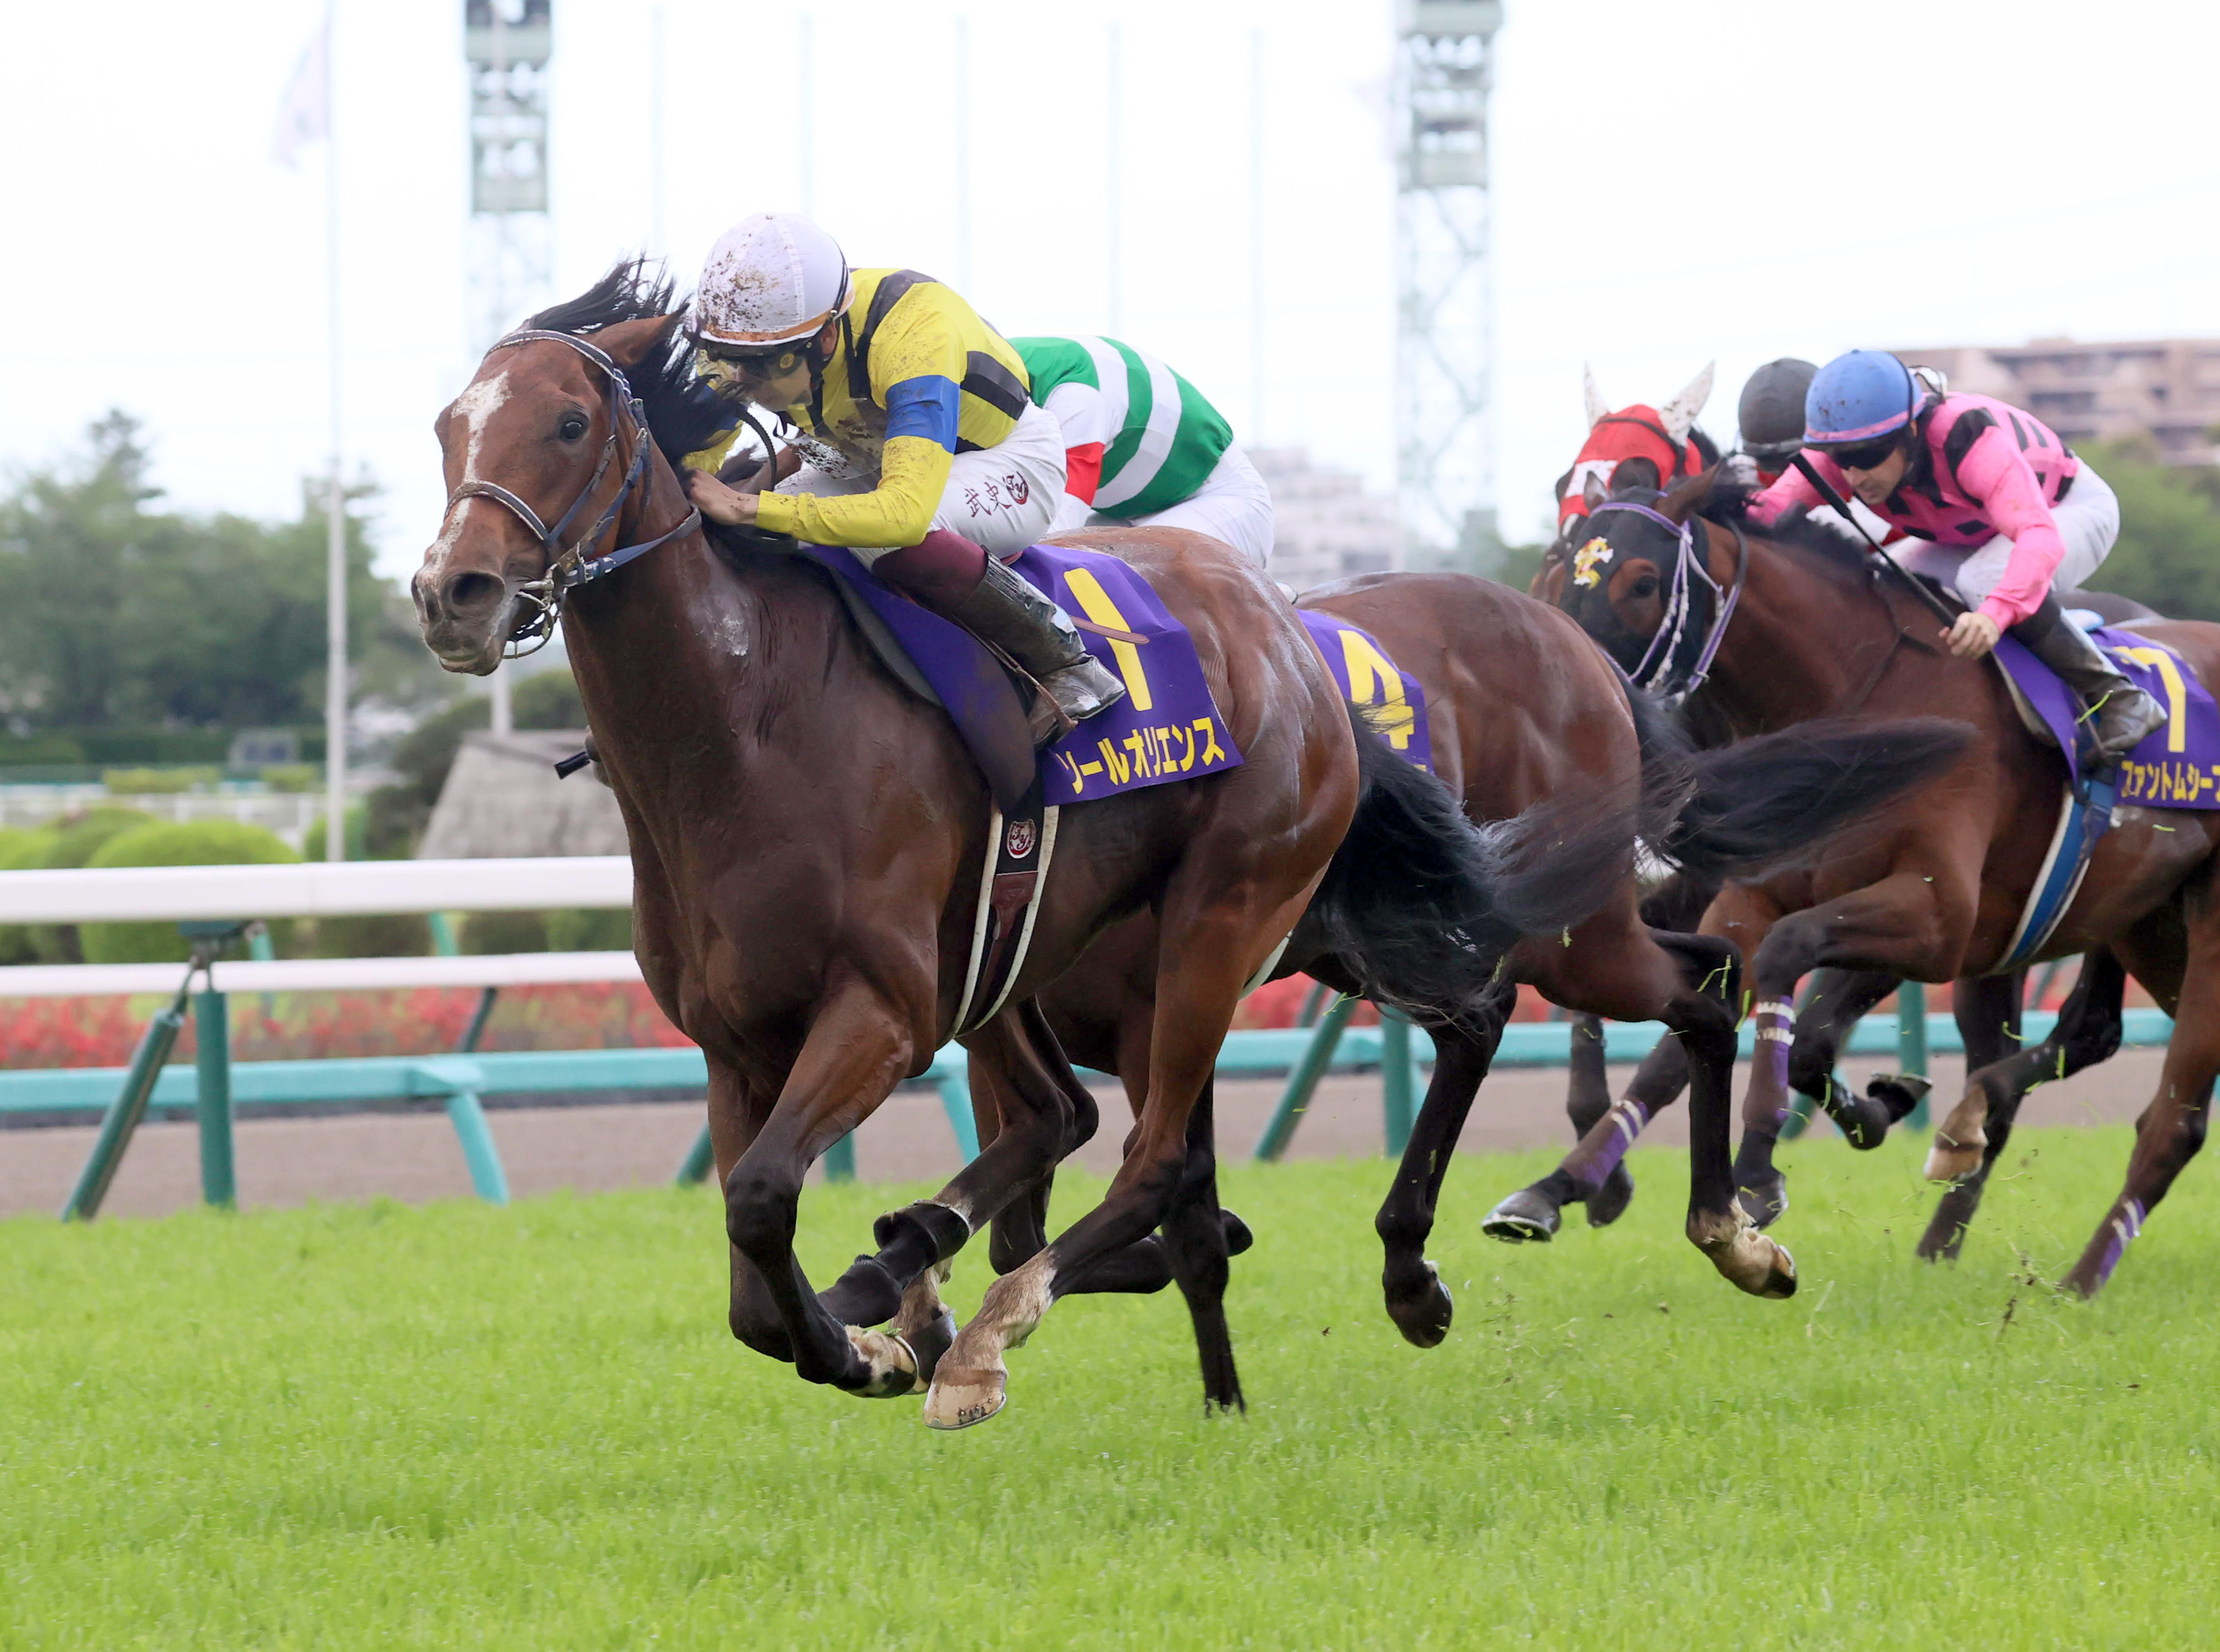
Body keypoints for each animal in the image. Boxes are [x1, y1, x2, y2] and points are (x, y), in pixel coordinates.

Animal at [410, 263, 1640, 1426]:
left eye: (570, 423)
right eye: (445, 426)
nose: (452, 592)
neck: (741, 729)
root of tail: (1293, 641)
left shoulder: (887, 1010)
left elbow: (764, 1199)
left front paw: (873, 1345)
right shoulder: (739, 1040)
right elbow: (753, 1282)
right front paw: (873, 1322)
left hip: (1226, 918)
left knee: (1160, 1157)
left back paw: (991, 1337)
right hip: (1070, 953)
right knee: (1096, 1117)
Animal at [1012, 569, 1973, 1388]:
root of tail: (1571, 638)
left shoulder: (1159, 1006)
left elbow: (1153, 1205)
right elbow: (1064, 1199)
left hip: (1558, 931)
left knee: (1683, 998)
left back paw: (1723, 1233)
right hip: (1401, 933)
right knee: (1582, 1000)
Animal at [1499, 469, 2220, 1297]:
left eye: (1642, 581)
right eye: (1556, 572)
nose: (1572, 680)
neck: (1862, 701)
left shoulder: (1934, 918)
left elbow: (1790, 982)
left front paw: (1761, 1167)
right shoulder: (1748, 894)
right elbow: (1691, 1033)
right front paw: (1557, 1188)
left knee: (2135, 1083)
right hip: (2133, 933)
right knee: (2067, 1046)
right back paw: (1946, 1212)